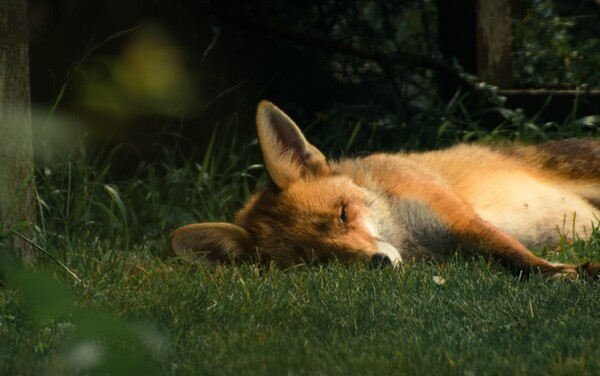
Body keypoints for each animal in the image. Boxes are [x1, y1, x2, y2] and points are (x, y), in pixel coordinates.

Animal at [169, 101, 600, 278]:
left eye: (344, 213)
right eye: (317, 260)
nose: (378, 263)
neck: (409, 238)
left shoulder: (458, 218)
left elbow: (522, 259)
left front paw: (568, 272)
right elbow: (514, 262)